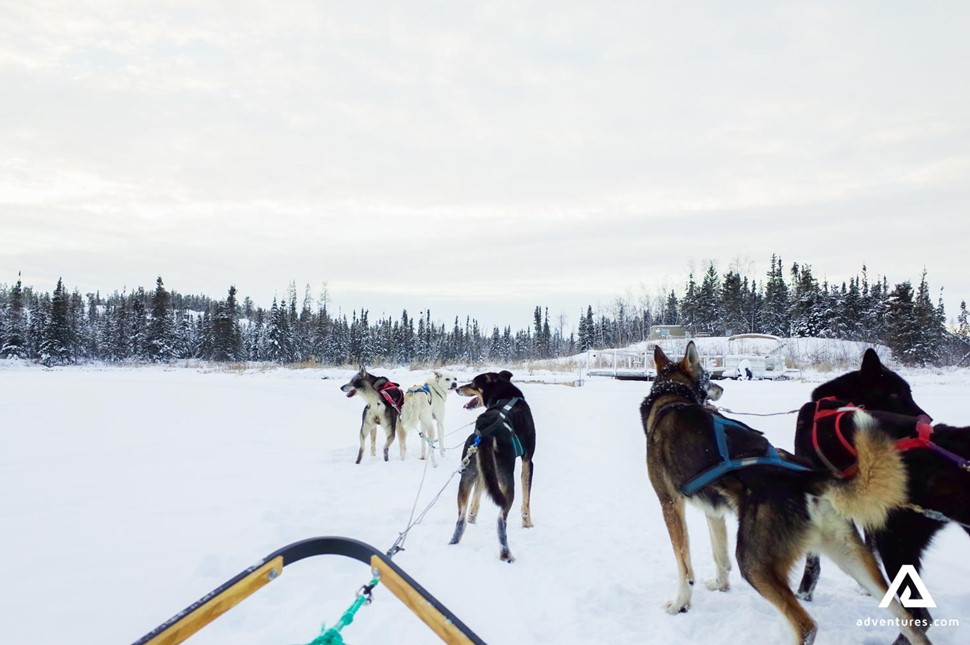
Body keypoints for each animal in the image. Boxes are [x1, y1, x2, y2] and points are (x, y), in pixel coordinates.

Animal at [448, 370, 532, 560]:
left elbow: (476, 498)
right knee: (501, 521)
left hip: (467, 476)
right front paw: (528, 524)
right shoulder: (528, 462)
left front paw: (473, 517)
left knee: (460, 519)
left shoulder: (483, 473)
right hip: (507, 482)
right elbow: (526, 500)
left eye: (473, 383)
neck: (506, 396)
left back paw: (453, 542)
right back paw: (506, 554)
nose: (456, 388)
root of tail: (486, 431)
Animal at [640, 342, 928, 644]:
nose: (721, 387)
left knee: (806, 625)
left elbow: (684, 565)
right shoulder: (713, 510)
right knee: (910, 620)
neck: (671, 398)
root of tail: (808, 478)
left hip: (754, 564)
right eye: (708, 376)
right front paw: (720, 584)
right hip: (851, 558)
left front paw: (680, 604)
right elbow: (720, 556)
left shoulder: (670, 504)